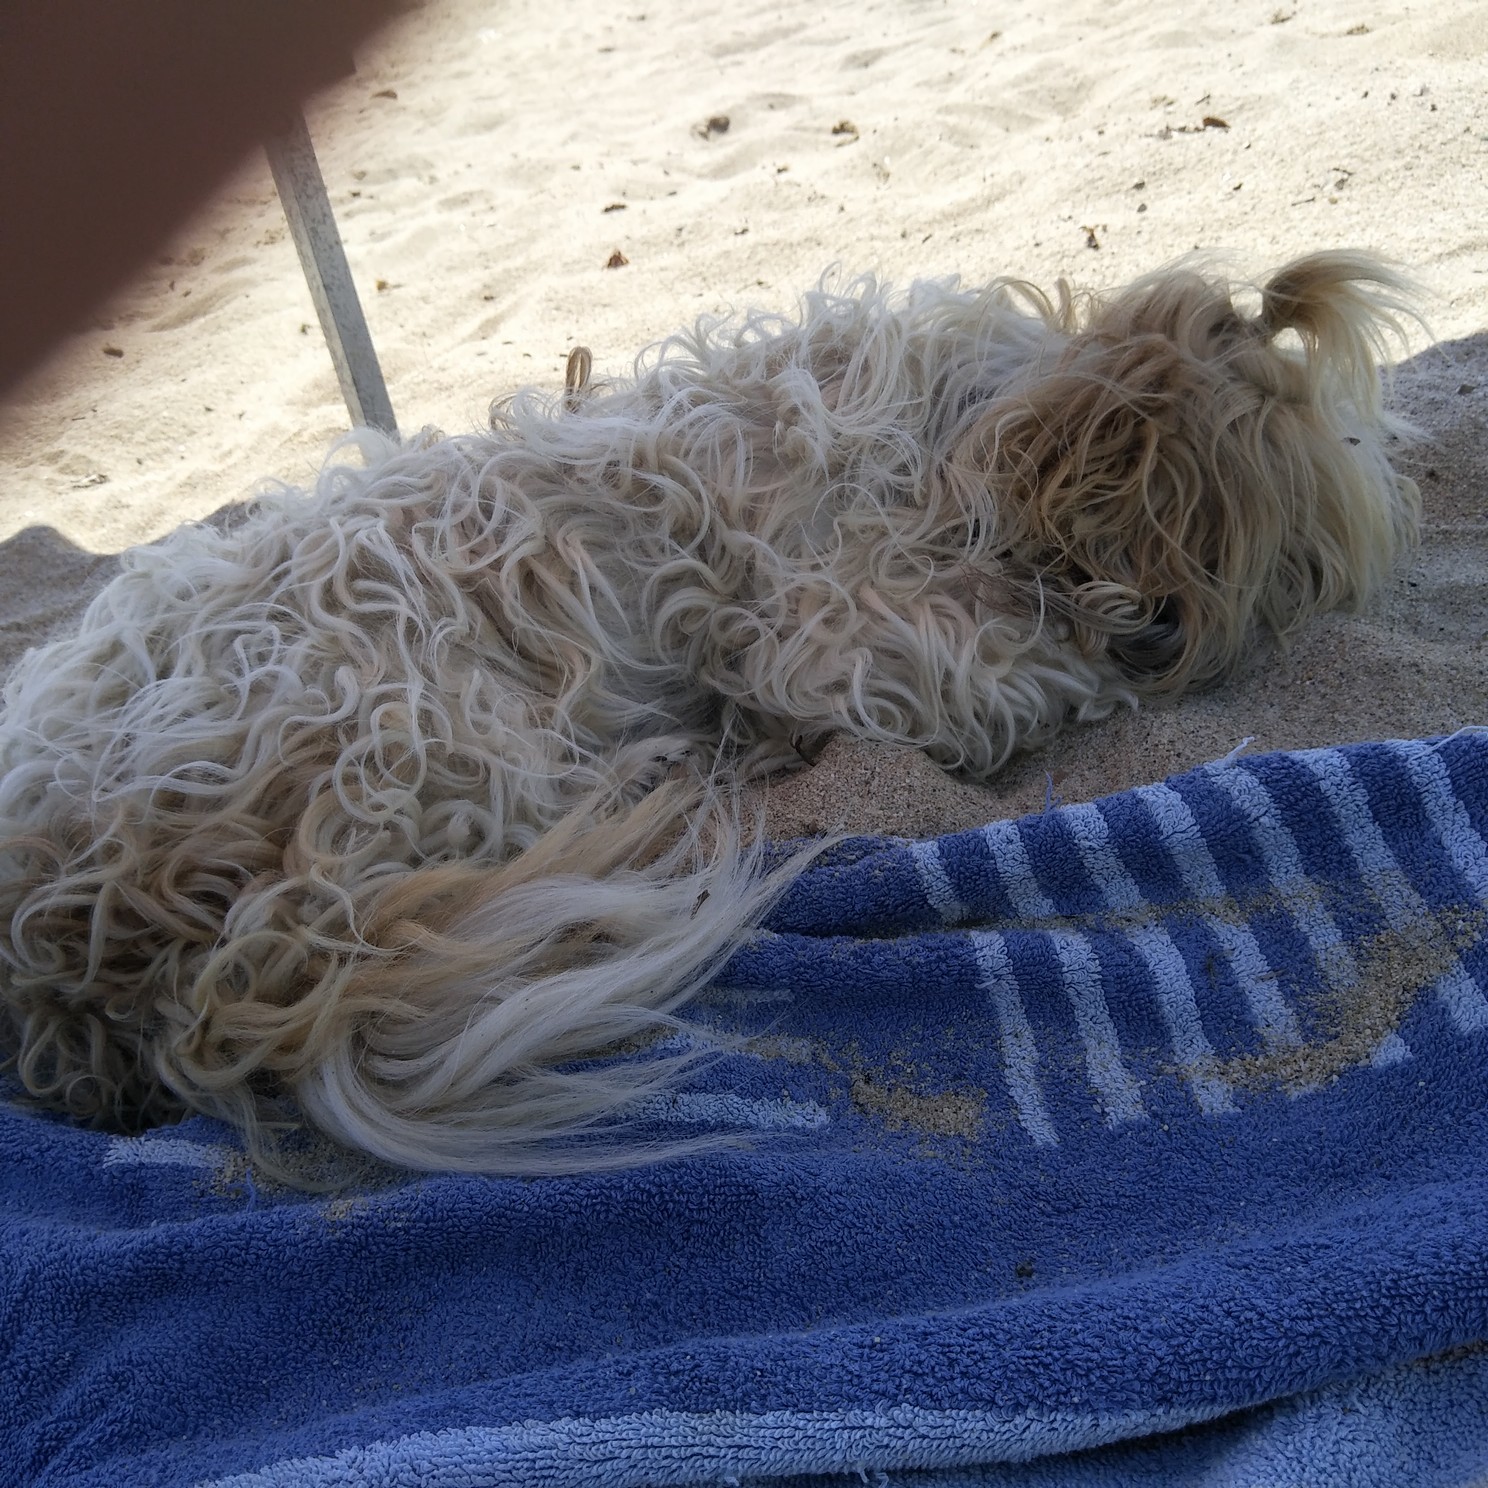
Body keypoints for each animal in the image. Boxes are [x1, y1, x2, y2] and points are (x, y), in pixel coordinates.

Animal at [0, 253, 1420, 1177]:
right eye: (1261, 545)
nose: (1172, 633)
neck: (964, 426)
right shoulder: (840, 630)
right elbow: (1021, 668)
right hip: (435, 735)